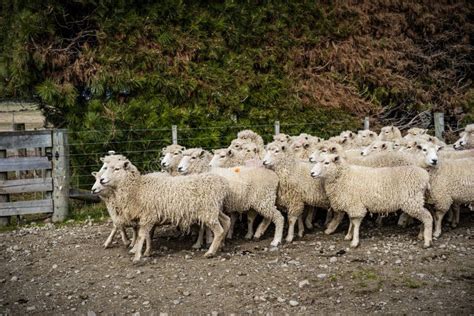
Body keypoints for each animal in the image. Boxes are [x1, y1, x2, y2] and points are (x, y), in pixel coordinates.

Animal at [100, 160, 231, 262]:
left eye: (117, 169)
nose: (101, 180)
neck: (137, 189)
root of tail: (222, 183)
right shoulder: (149, 217)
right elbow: (148, 235)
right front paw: (147, 252)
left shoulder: (148, 215)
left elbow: (142, 235)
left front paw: (137, 256)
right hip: (213, 209)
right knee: (226, 221)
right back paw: (221, 246)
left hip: (208, 210)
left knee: (219, 230)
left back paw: (211, 252)